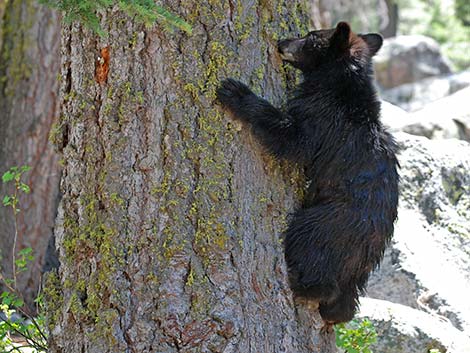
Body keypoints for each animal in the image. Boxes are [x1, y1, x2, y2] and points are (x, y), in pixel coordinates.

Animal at [216, 21, 396, 324]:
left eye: (309, 36)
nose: (281, 42)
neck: (339, 86)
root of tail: (369, 254)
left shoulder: (323, 119)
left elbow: (292, 140)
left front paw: (236, 92)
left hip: (328, 224)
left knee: (308, 243)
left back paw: (298, 283)